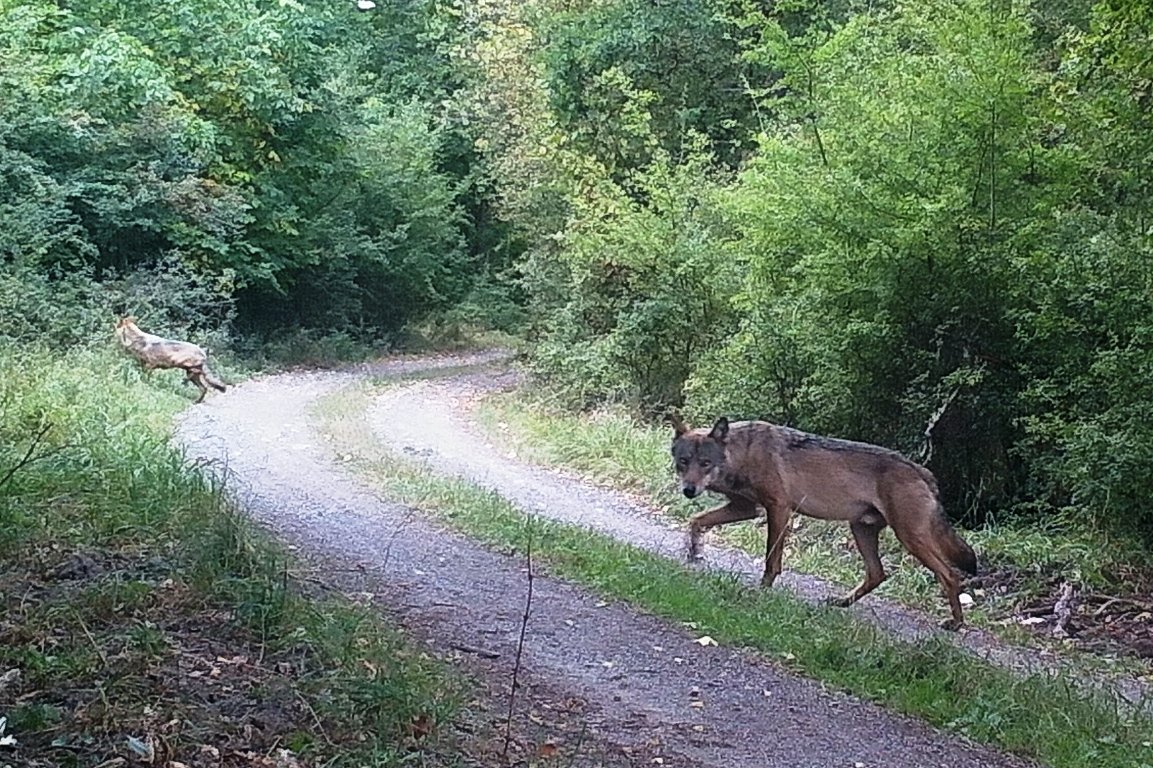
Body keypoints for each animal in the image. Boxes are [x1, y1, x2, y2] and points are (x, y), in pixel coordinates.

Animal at [670, 415, 977, 630]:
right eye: (683, 461)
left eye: (706, 463)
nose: (689, 490)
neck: (741, 454)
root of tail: (923, 471)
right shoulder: (746, 508)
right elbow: (696, 521)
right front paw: (694, 552)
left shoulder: (778, 509)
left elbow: (772, 559)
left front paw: (762, 591)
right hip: (862, 530)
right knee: (877, 574)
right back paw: (841, 602)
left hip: (910, 538)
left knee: (951, 575)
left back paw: (956, 624)